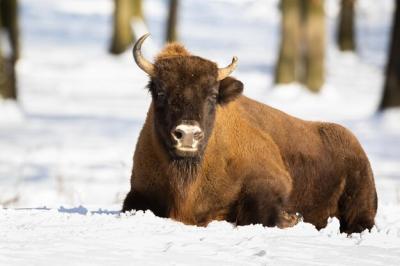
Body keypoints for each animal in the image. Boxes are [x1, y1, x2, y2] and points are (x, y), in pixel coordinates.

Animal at [122, 33, 378, 235]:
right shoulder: (140, 190)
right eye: (160, 92)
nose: (187, 134)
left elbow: (259, 214)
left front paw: (291, 219)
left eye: (212, 95)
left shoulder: (272, 180)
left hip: (359, 203)